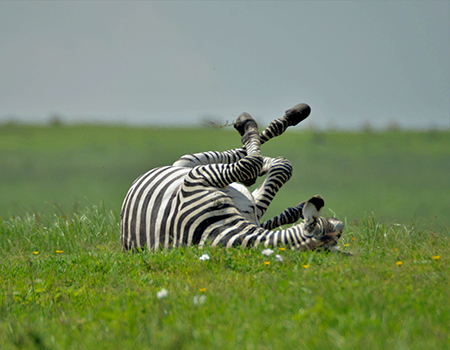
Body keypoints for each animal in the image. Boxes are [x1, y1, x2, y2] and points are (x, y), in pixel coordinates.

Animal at [118, 102, 344, 253]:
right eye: (333, 226)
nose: (340, 222)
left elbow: (262, 167)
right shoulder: (196, 179)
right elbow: (251, 164)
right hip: (186, 164)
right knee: (254, 158)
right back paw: (263, 122)